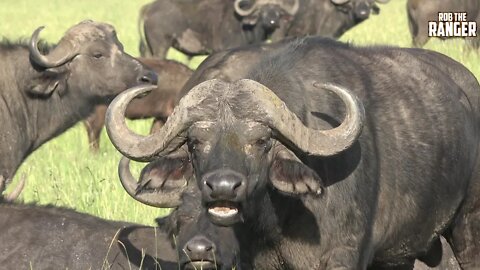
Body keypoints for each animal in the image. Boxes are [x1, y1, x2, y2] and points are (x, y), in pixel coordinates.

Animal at [107, 36, 480, 270]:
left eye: (262, 141)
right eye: (196, 143)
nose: (223, 187)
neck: (281, 218)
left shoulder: (344, 255)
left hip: (468, 225)